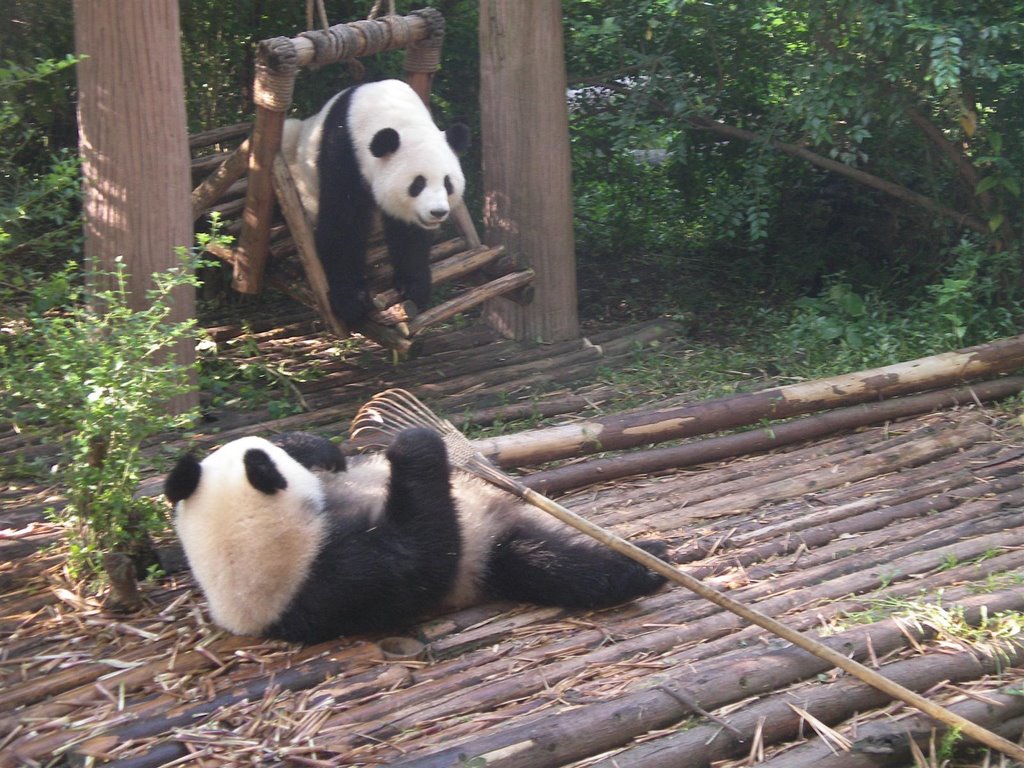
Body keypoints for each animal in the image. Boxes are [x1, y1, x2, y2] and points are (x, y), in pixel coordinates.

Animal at [163, 430, 667, 647]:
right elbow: (423, 555)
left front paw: (318, 449)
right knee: (551, 564)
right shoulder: (337, 581)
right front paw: (414, 442)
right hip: (488, 557)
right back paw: (644, 567)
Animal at [280, 79, 471, 325]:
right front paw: (351, 300)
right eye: (418, 184)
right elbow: (343, 224)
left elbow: (409, 234)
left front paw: (413, 286)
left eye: (448, 184)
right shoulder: (344, 152)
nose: (437, 212)